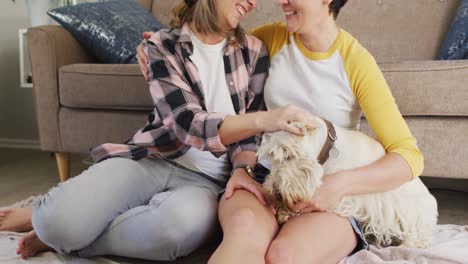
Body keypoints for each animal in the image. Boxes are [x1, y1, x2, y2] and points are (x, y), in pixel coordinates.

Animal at [260, 119, 438, 248]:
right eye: (272, 157)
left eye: (289, 155)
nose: (275, 192)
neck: (327, 152)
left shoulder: (343, 196)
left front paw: (288, 210)